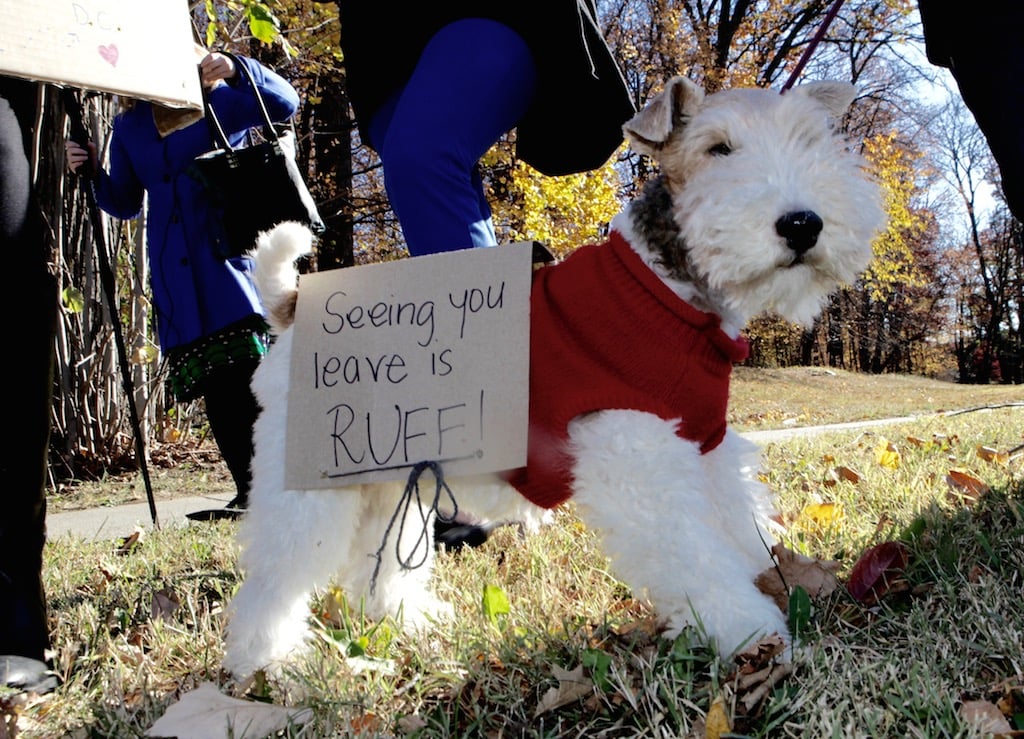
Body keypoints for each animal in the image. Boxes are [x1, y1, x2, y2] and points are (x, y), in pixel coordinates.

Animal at [224, 77, 888, 675]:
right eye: (718, 148)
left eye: (810, 140)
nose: (802, 224)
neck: (670, 293)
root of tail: (293, 305)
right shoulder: (640, 459)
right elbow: (698, 558)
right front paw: (752, 632)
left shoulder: (707, 445)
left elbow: (744, 532)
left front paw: (776, 584)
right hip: (313, 485)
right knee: (275, 581)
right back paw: (267, 664)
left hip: (393, 479)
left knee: (376, 564)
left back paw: (408, 620)